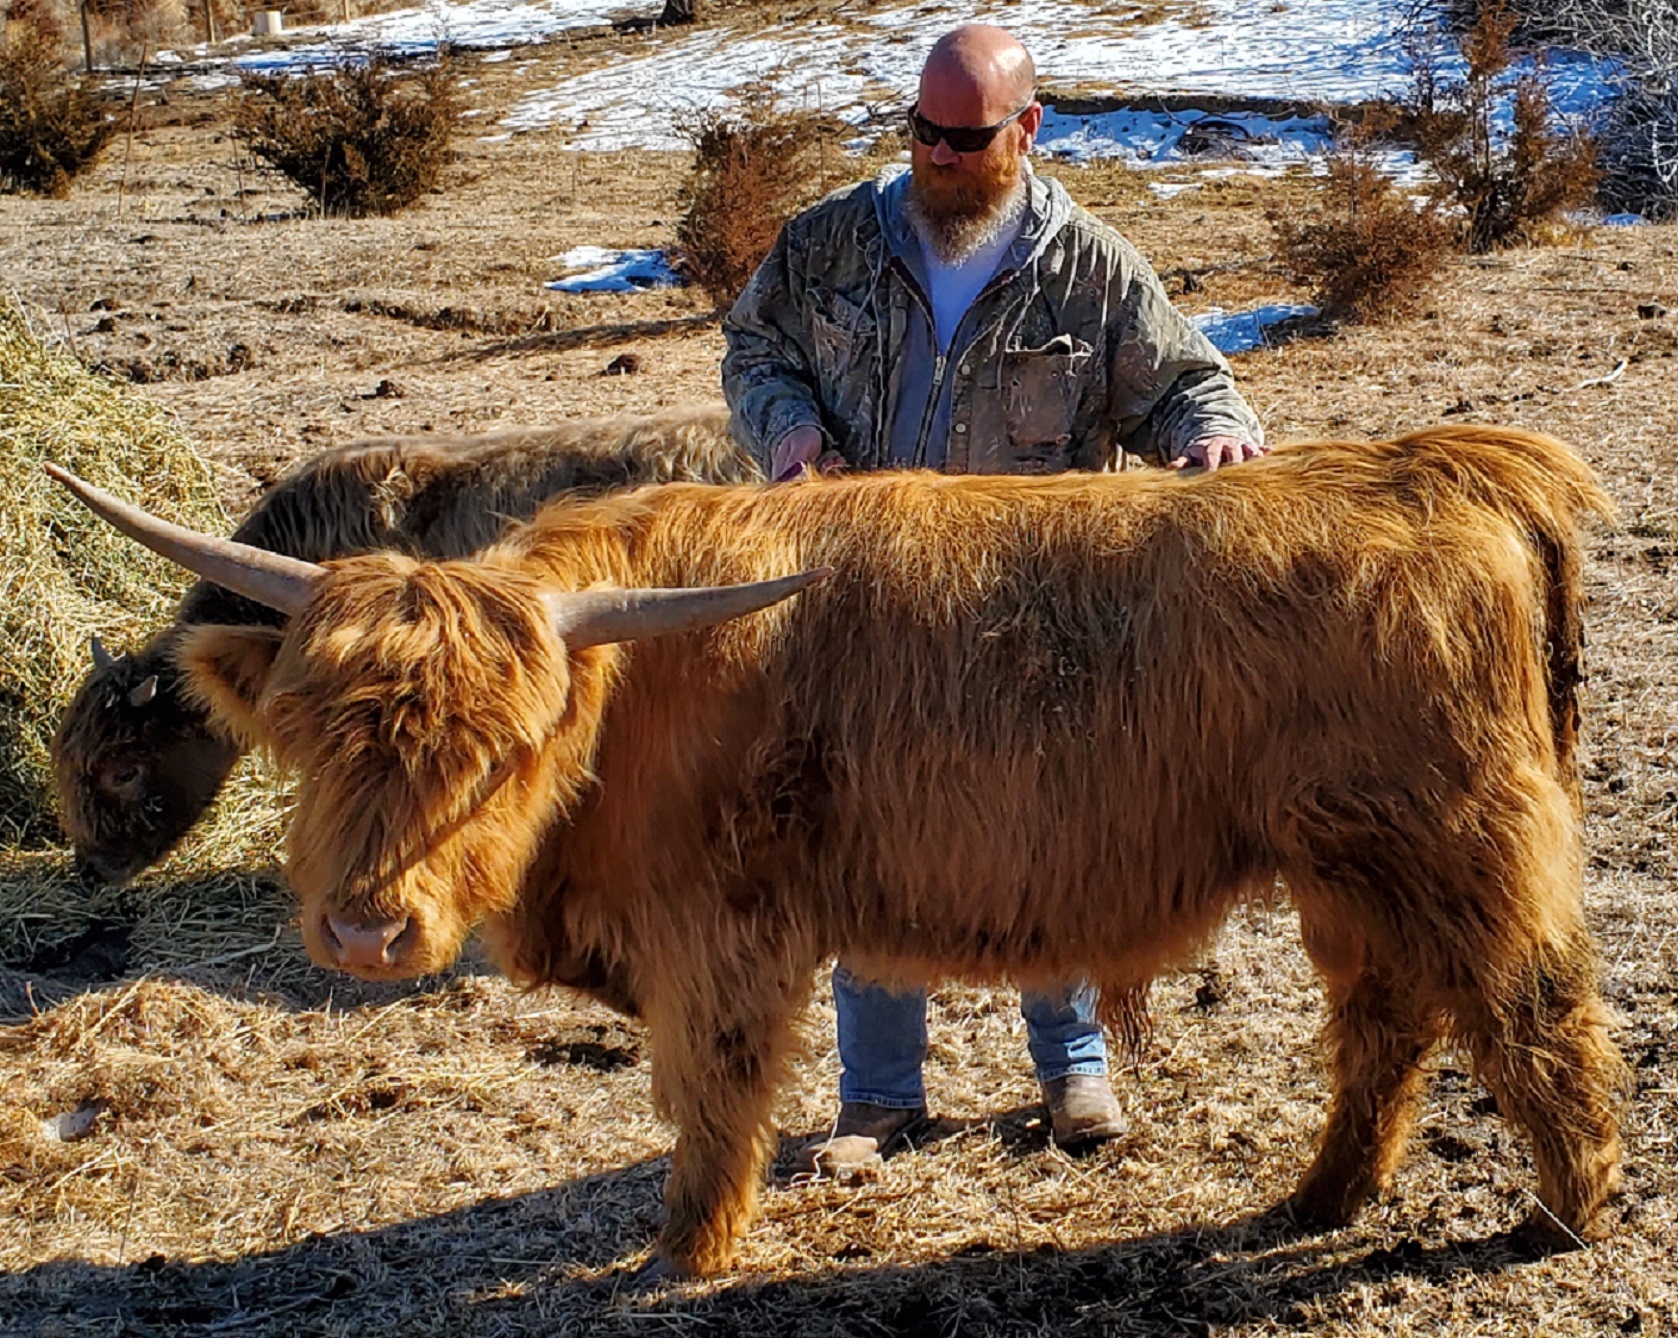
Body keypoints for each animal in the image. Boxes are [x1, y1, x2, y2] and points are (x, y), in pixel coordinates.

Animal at [49, 424, 1624, 1275]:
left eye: (500, 750)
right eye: (318, 737)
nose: (366, 934)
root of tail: (1437, 466)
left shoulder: (720, 931)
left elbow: (711, 1094)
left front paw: (687, 1250)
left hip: (1461, 841)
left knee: (1531, 1010)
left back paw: (1564, 1210)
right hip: (1342, 864)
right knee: (1387, 1020)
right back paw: (1320, 1196)